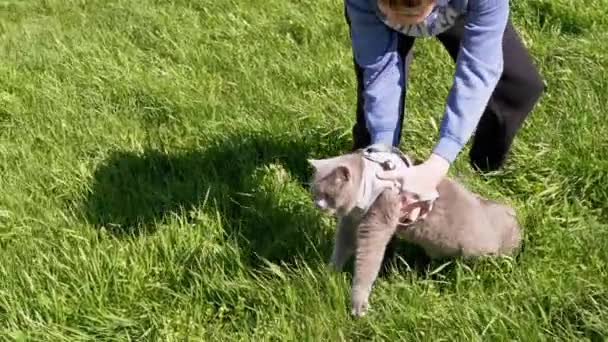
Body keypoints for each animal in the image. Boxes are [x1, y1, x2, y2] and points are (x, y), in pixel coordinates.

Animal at [308, 148, 524, 316]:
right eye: (314, 193)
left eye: (327, 195)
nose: (317, 205)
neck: (366, 186)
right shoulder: (351, 219)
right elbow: (342, 244)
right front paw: (330, 272)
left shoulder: (379, 216)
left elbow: (368, 260)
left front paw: (358, 304)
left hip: (480, 248)